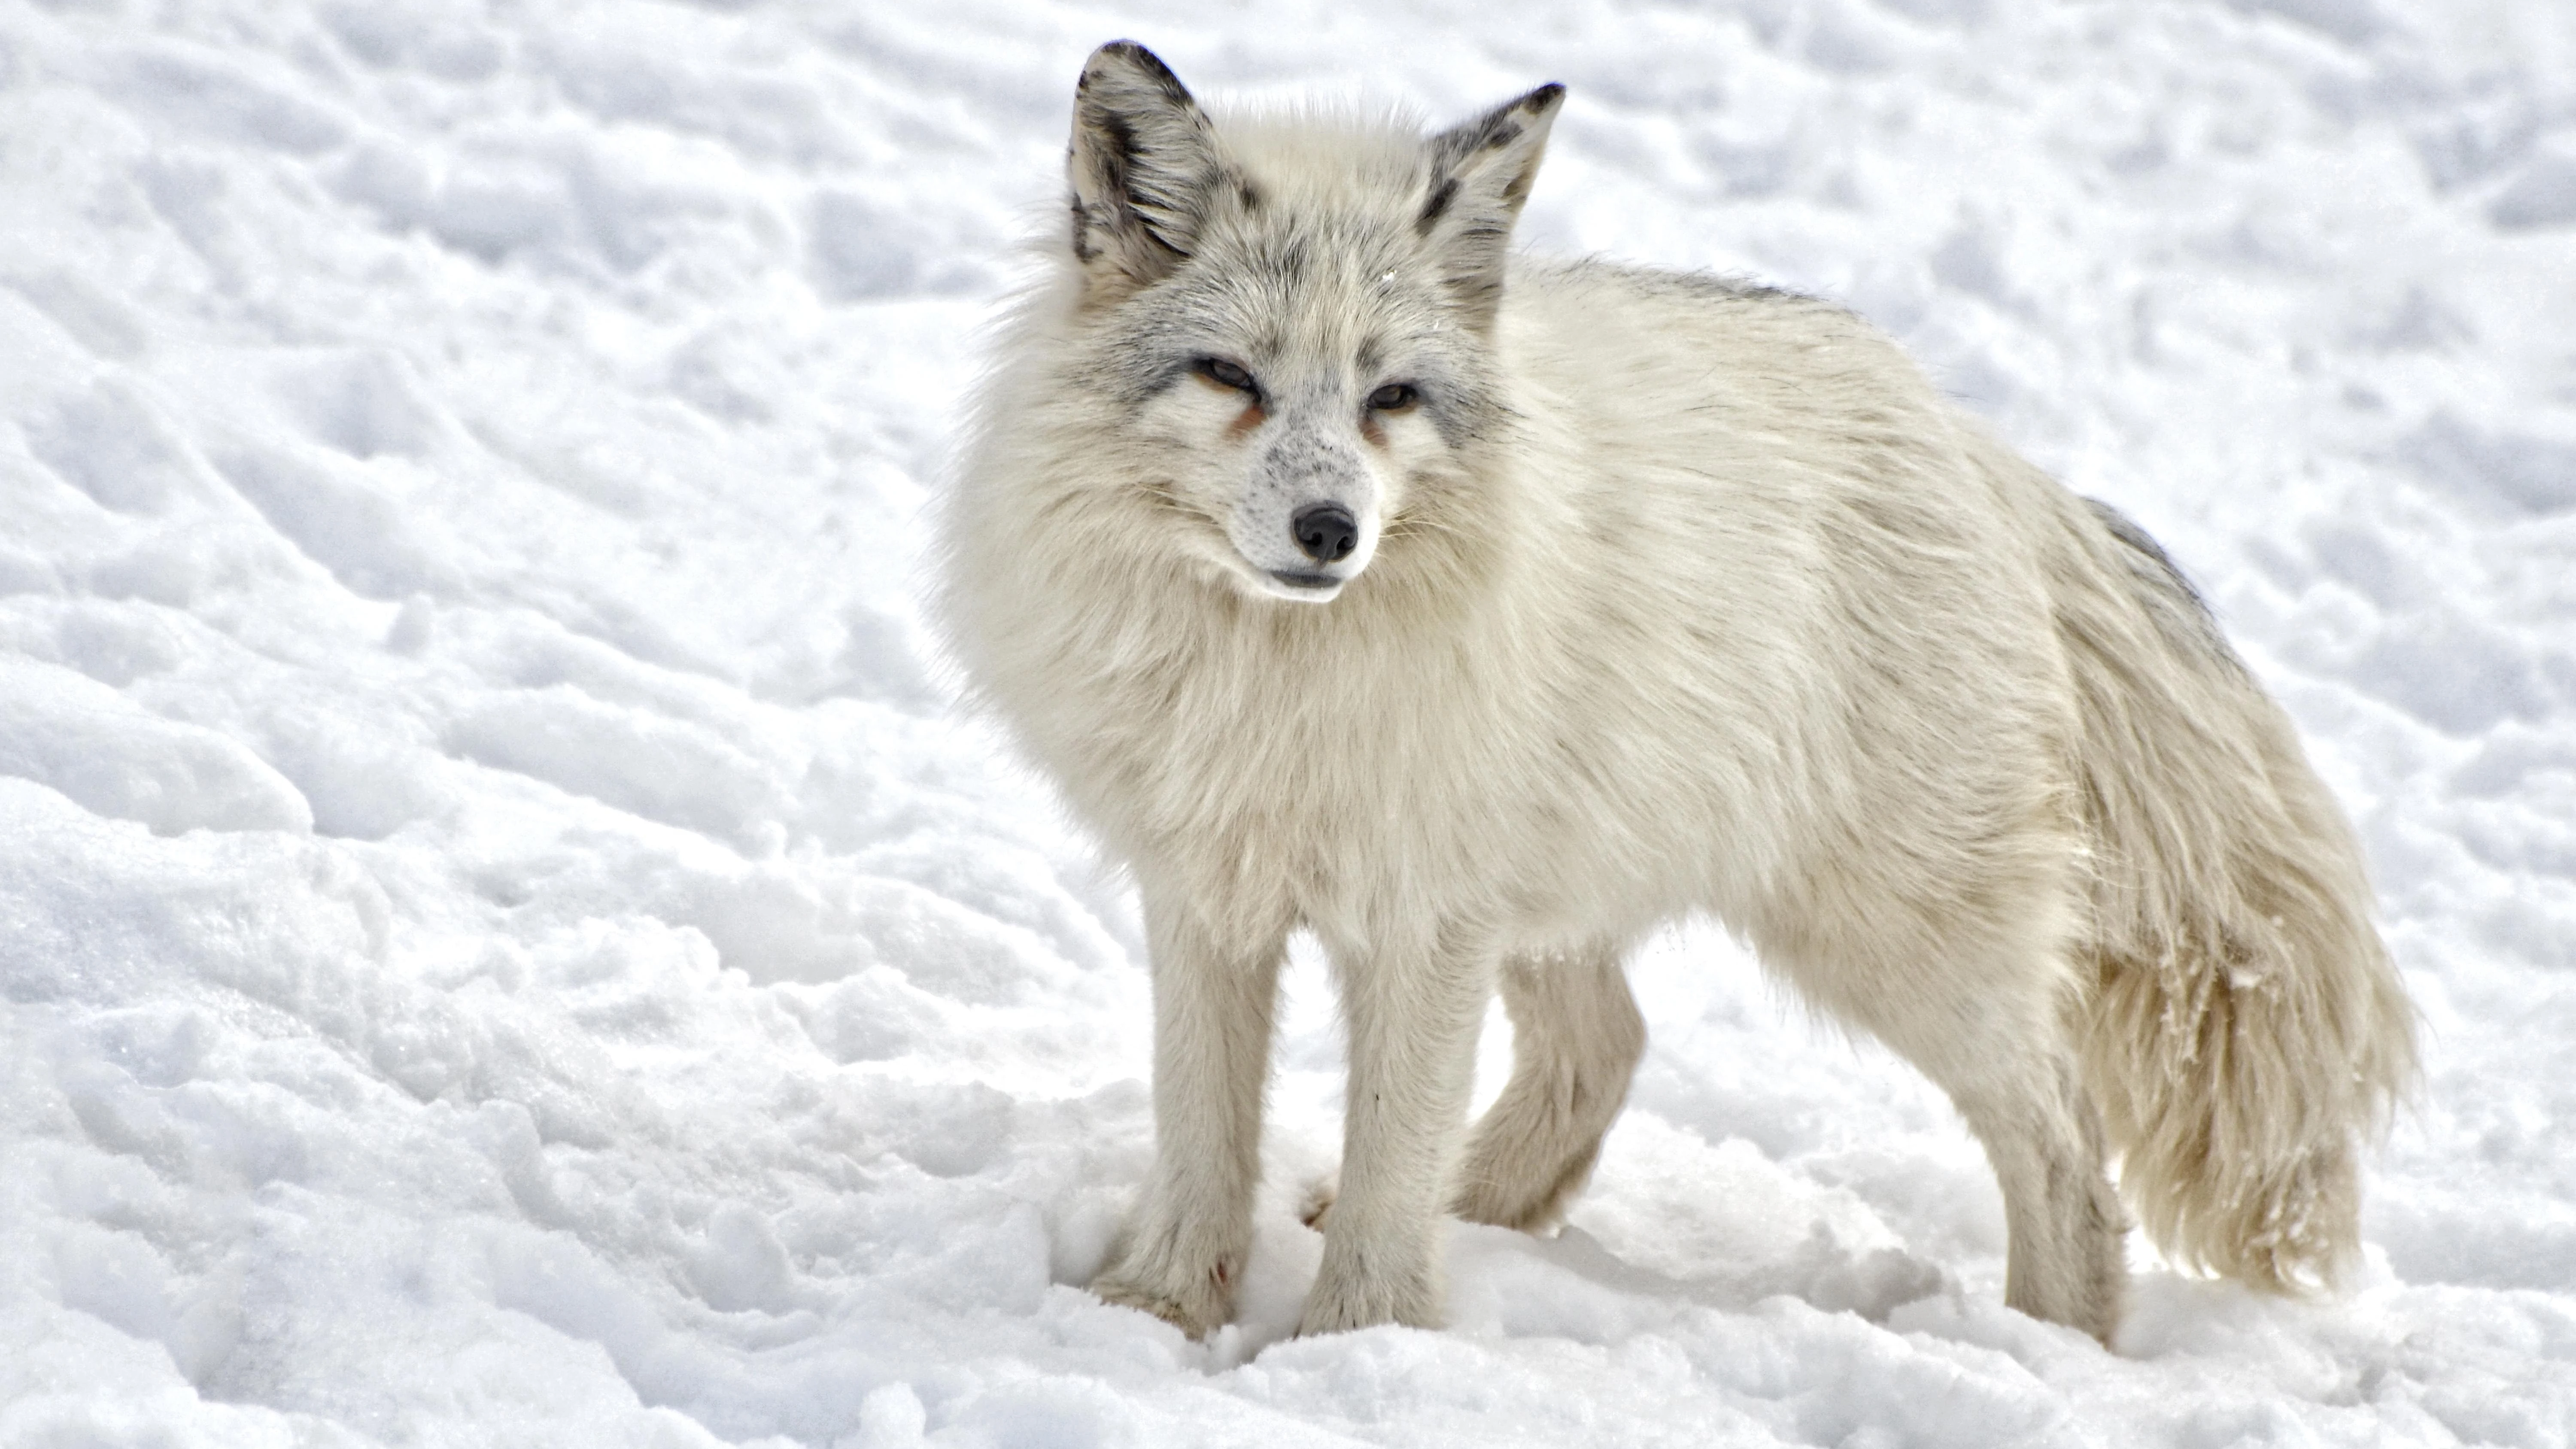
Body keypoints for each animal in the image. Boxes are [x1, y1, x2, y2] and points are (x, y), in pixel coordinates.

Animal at [943, 36, 2411, 1340]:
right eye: (1229, 378)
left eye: (1390, 397)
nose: (1329, 532)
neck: (1273, 675)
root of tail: (1974, 445)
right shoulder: (1209, 892)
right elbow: (1204, 1131)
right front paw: (1158, 1312)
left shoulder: (1421, 922)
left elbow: (1388, 1159)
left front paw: (1352, 1344)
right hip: (1568, 901)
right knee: (1609, 1047)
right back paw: (1483, 1217)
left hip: (1894, 945)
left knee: (2066, 1152)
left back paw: (2051, 1351)